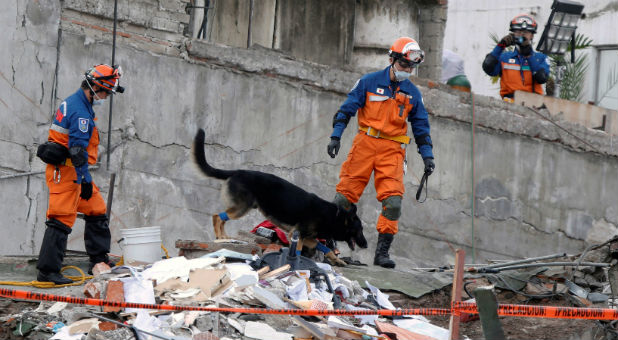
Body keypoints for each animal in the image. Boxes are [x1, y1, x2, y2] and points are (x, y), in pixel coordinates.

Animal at [192, 128, 366, 258]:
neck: (335, 215)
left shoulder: (306, 237)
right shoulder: (298, 235)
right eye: (360, 230)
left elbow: (322, 246)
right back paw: (219, 236)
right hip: (242, 208)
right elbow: (298, 251)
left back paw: (223, 237)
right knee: (217, 216)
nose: (366, 245)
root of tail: (237, 171)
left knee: (222, 218)